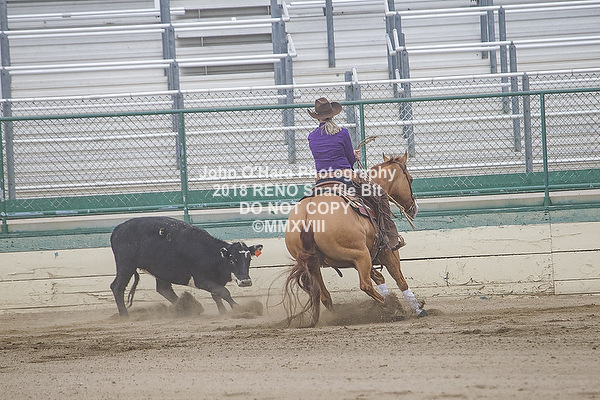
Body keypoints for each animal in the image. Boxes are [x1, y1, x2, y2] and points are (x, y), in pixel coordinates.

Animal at [109, 216, 263, 317]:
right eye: (232, 261)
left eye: (249, 259)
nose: (245, 281)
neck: (211, 254)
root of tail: (117, 229)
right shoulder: (201, 280)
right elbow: (224, 292)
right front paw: (238, 308)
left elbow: (217, 294)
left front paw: (223, 312)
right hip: (126, 265)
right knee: (117, 287)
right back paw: (124, 315)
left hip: (161, 271)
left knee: (164, 289)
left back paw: (189, 308)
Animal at [284, 151, 426, 327]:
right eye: (411, 179)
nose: (414, 208)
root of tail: (308, 218)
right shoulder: (387, 253)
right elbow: (400, 280)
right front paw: (418, 310)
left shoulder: (369, 256)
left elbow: (379, 277)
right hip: (360, 255)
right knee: (365, 285)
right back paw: (391, 308)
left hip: (315, 264)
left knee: (324, 295)